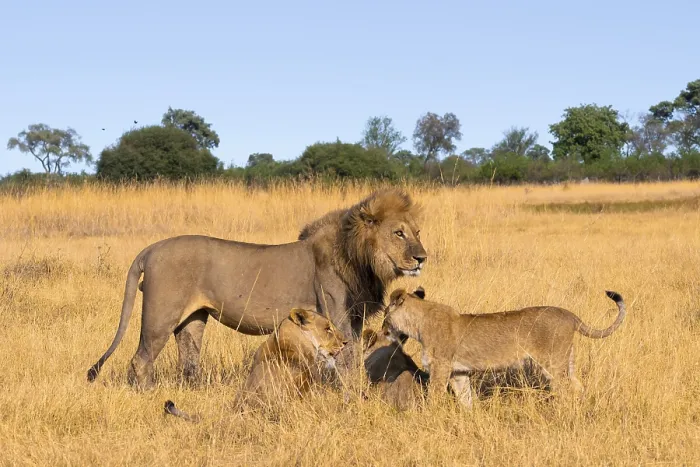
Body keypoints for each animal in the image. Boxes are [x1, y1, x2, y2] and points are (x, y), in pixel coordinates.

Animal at [87, 189, 426, 389]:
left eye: (417, 232)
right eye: (398, 233)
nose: (422, 258)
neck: (361, 259)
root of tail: (151, 249)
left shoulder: (352, 321)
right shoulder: (337, 318)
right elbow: (347, 361)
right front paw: (352, 395)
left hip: (193, 319)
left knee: (188, 360)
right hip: (160, 317)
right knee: (141, 359)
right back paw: (148, 394)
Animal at [382, 287, 626, 407]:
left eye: (385, 313)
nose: (382, 330)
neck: (418, 324)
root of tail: (570, 315)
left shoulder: (440, 368)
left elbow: (434, 396)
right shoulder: (458, 373)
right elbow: (466, 400)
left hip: (552, 364)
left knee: (565, 389)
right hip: (568, 362)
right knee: (579, 387)